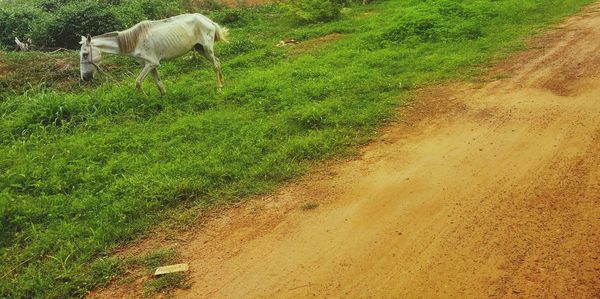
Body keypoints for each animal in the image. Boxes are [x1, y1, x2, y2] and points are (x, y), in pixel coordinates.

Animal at [79, 13, 227, 95]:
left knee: (215, 65)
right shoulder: (150, 66)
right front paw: (163, 100)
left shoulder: (151, 64)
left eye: (85, 54)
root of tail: (207, 20)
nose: (84, 77)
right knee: (218, 62)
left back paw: (219, 88)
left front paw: (146, 100)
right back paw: (223, 82)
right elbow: (159, 85)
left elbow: (138, 83)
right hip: (200, 49)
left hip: (207, 48)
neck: (135, 41)